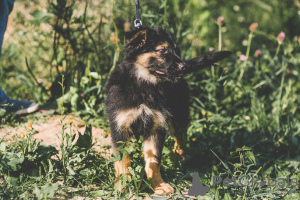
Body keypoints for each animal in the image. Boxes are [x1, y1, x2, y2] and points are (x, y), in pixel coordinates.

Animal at [104, 26, 231, 194]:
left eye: (176, 50)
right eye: (162, 50)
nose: (184, 66)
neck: (146, 85)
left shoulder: (156, 127)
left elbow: (154, 160)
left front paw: (157, 184)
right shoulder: (120, 127)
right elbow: (123, 160)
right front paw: (122, 184)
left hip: (179, 114)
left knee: (181, 137)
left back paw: (179, 159)